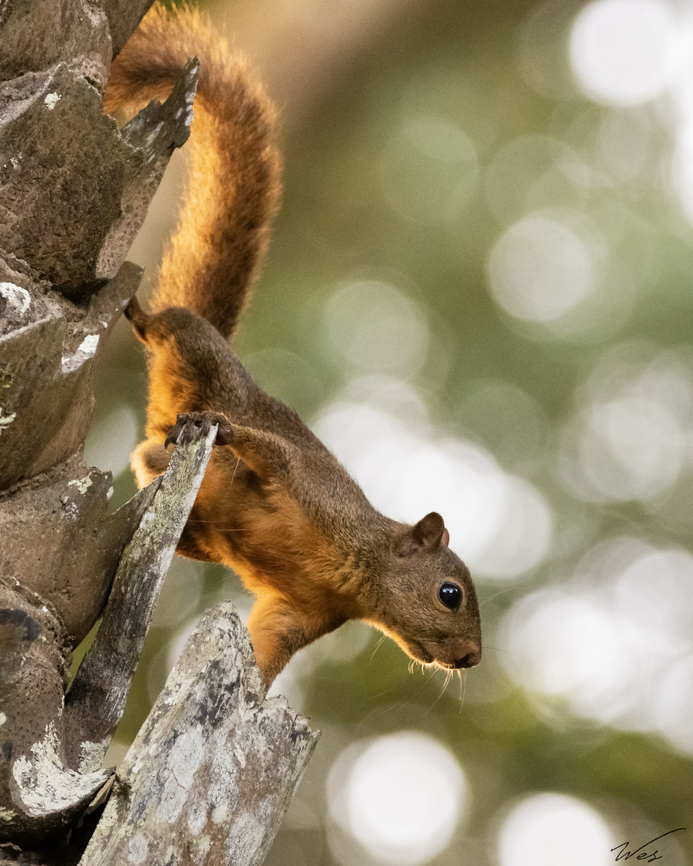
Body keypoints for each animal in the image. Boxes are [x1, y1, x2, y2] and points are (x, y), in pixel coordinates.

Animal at [104, 5, 481, 686]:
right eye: (450, 594)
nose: (470, 658)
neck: (358, 571)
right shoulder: (309, 486)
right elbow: (269, 451)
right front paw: (221, 428)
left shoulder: (299, 612)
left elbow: (265, 651)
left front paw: (248, 685)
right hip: (197, 349)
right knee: (164, 326)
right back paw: (136, 312)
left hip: (182, 504)